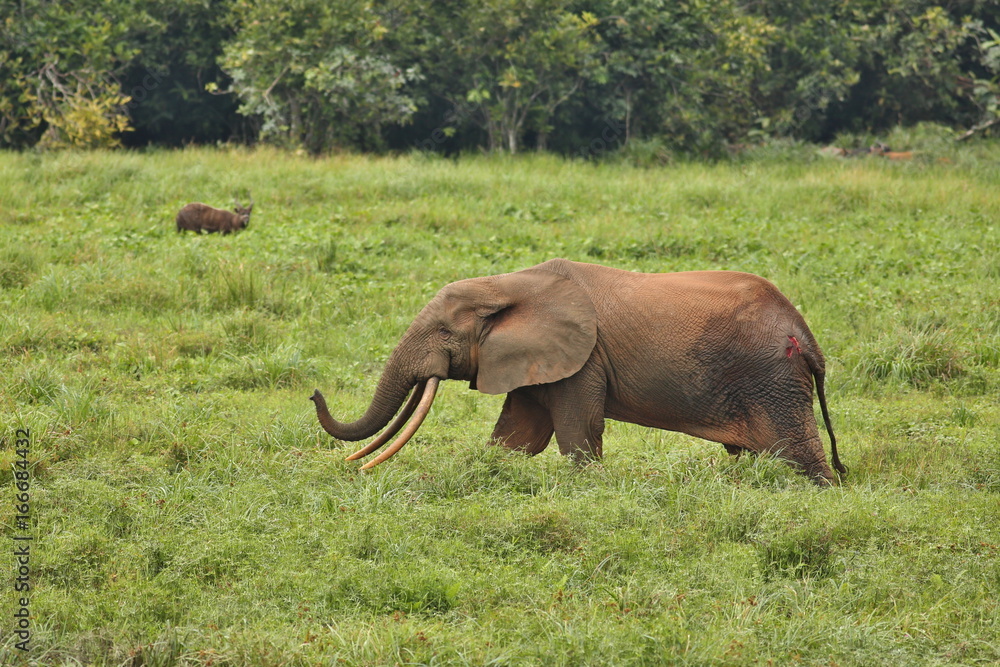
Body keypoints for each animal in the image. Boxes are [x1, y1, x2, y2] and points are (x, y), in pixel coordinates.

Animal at [310, 258, 846, 485]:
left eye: (444, 331)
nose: (314, 393)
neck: (509, 282)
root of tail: (807, 338)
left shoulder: (583, 359)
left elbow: (576, 434)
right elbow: (517, 437)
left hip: (772, 379)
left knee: (795, 453)